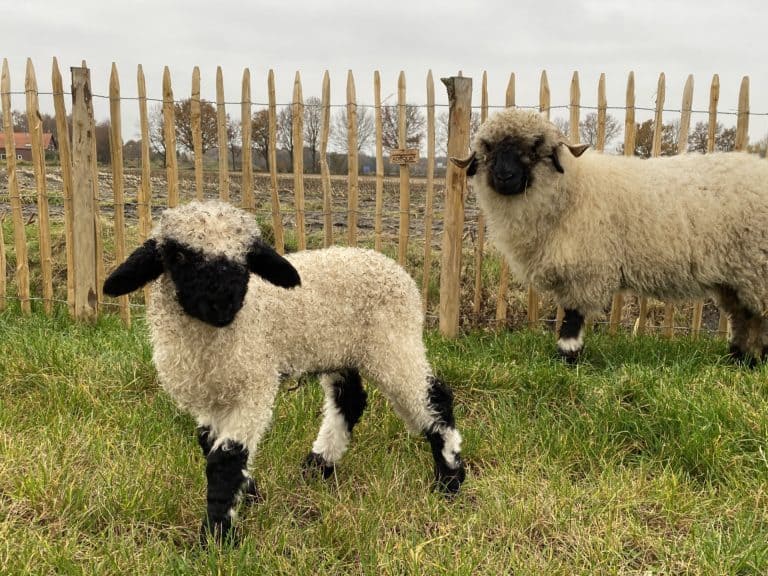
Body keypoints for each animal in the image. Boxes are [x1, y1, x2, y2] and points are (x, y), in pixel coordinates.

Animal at [101, 200, 462, 544]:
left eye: (247, 257)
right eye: (178, 255)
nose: (224, 304)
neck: (213, 339)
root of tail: (387, 264)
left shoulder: (253, 385)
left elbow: (227, 458)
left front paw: (218, 536)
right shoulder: (209, 395)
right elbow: (210, 445)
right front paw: (247, 496)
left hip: (393, 343)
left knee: (433, 397)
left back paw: (450, 478)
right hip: (340, 350)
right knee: (350, 401)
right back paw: (318, 465)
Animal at [450, 106, 768, 362]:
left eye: (534, 150)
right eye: (488, 150)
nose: (504, 177)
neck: (572, 189)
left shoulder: (586, 269)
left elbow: (573, 316)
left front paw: (567, 356)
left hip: (757, 269)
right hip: (737, 276)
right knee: (745, 316)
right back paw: (740, 359)